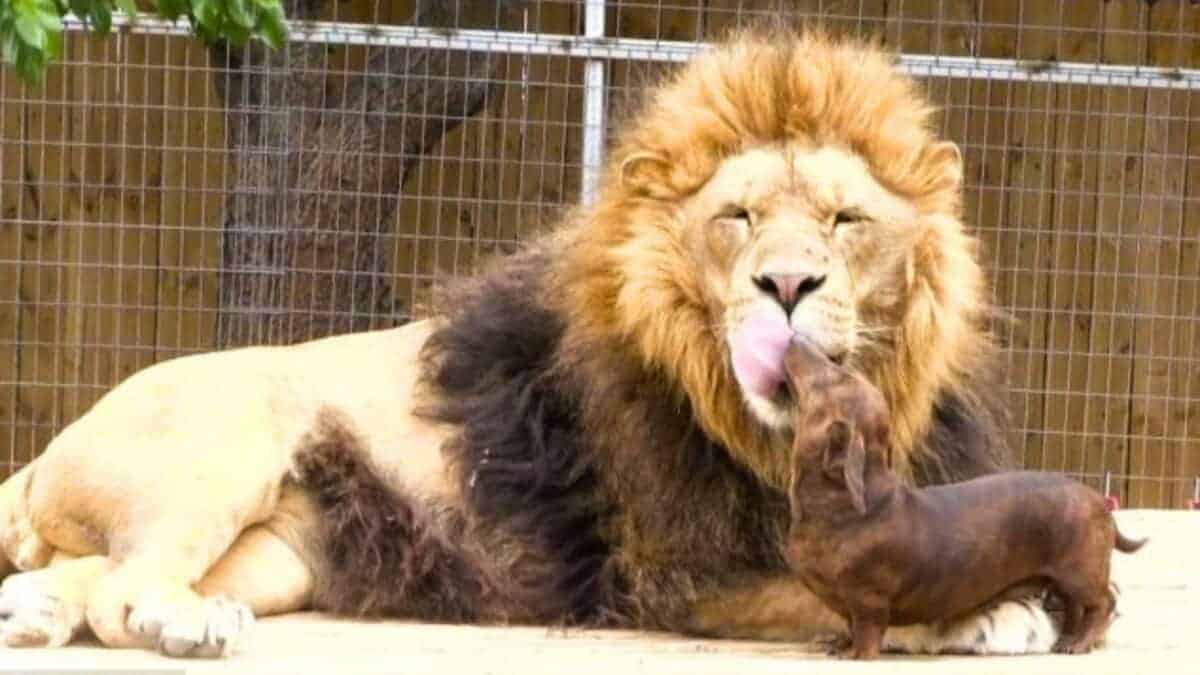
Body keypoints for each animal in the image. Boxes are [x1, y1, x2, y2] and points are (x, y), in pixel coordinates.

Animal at [0, 28, 1051, 653]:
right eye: (739, 218)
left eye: (844, 221)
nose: (786, 285)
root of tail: (54, 444)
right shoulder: (674, 574)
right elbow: (845, 592)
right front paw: (993, 610)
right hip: (223, 452)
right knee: (123, 590)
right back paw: (176, 624)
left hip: (282, 554)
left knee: (84, 571)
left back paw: (37, 611)